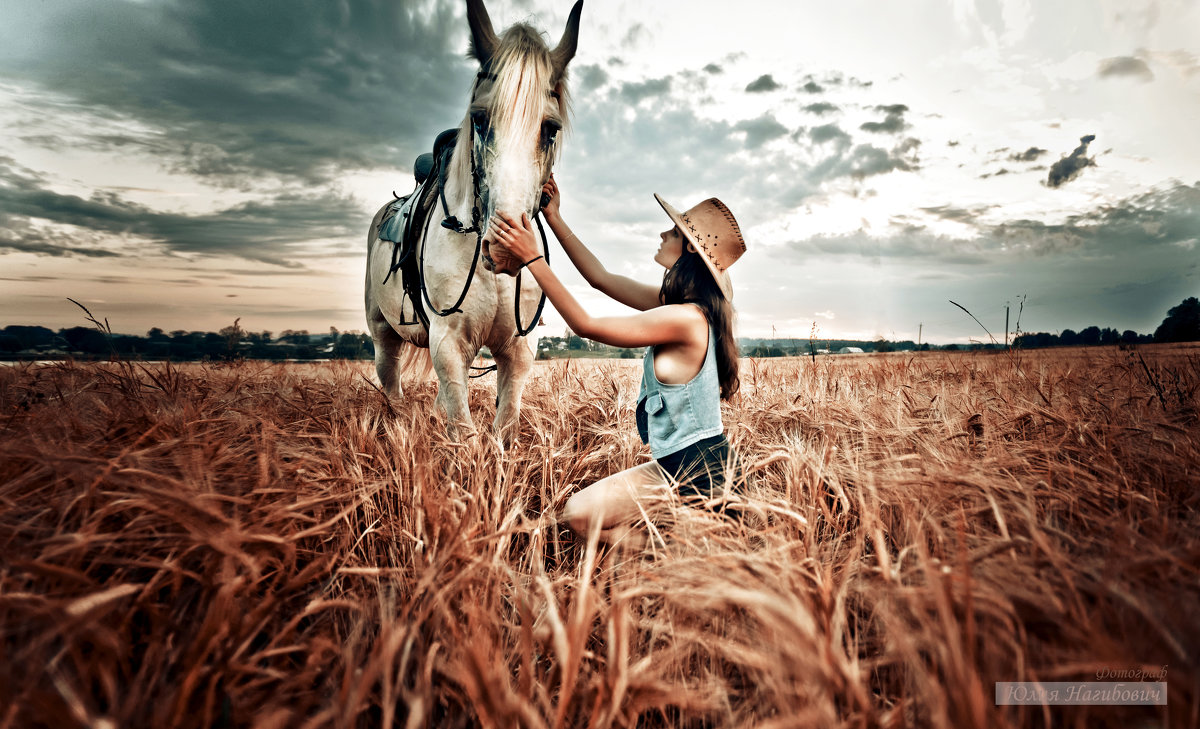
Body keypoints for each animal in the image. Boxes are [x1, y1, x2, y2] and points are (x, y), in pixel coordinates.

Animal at [362, 0, 578, 438]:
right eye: (479, 119)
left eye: (550, 129)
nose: (507, 248)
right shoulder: (447, 343)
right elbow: (463, 434)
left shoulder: (518, 349)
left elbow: (504, 427)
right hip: (382, 331)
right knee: (391, 382)